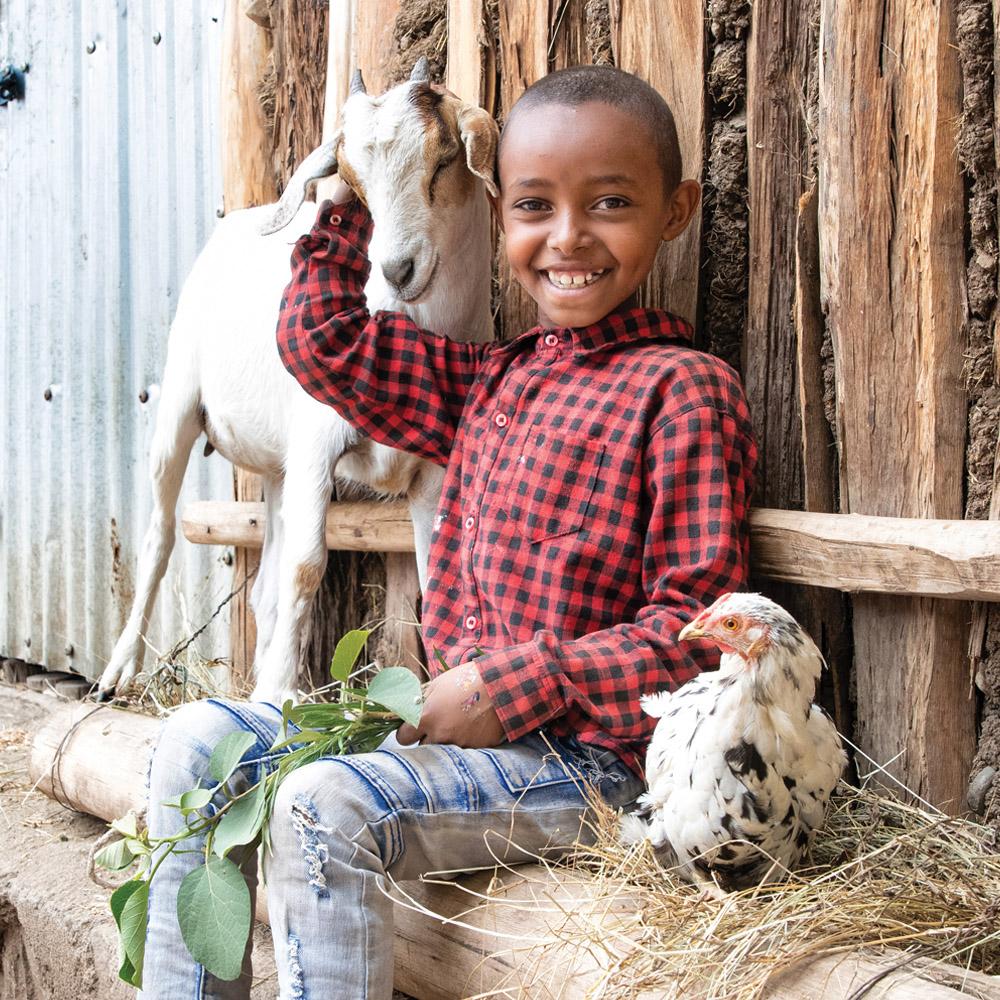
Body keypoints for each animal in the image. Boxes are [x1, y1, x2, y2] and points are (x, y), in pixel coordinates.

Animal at [97, 60, 496, 704]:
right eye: (354, 181)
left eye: (443, 160)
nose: (397, 270)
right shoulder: (316, 443)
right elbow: (308, 566)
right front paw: (278, 697)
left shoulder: (433, 470)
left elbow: (432, 573)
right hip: (179, 401)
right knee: (160, 536)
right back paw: (119, 673)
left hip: (278, 471)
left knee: (266, 583)